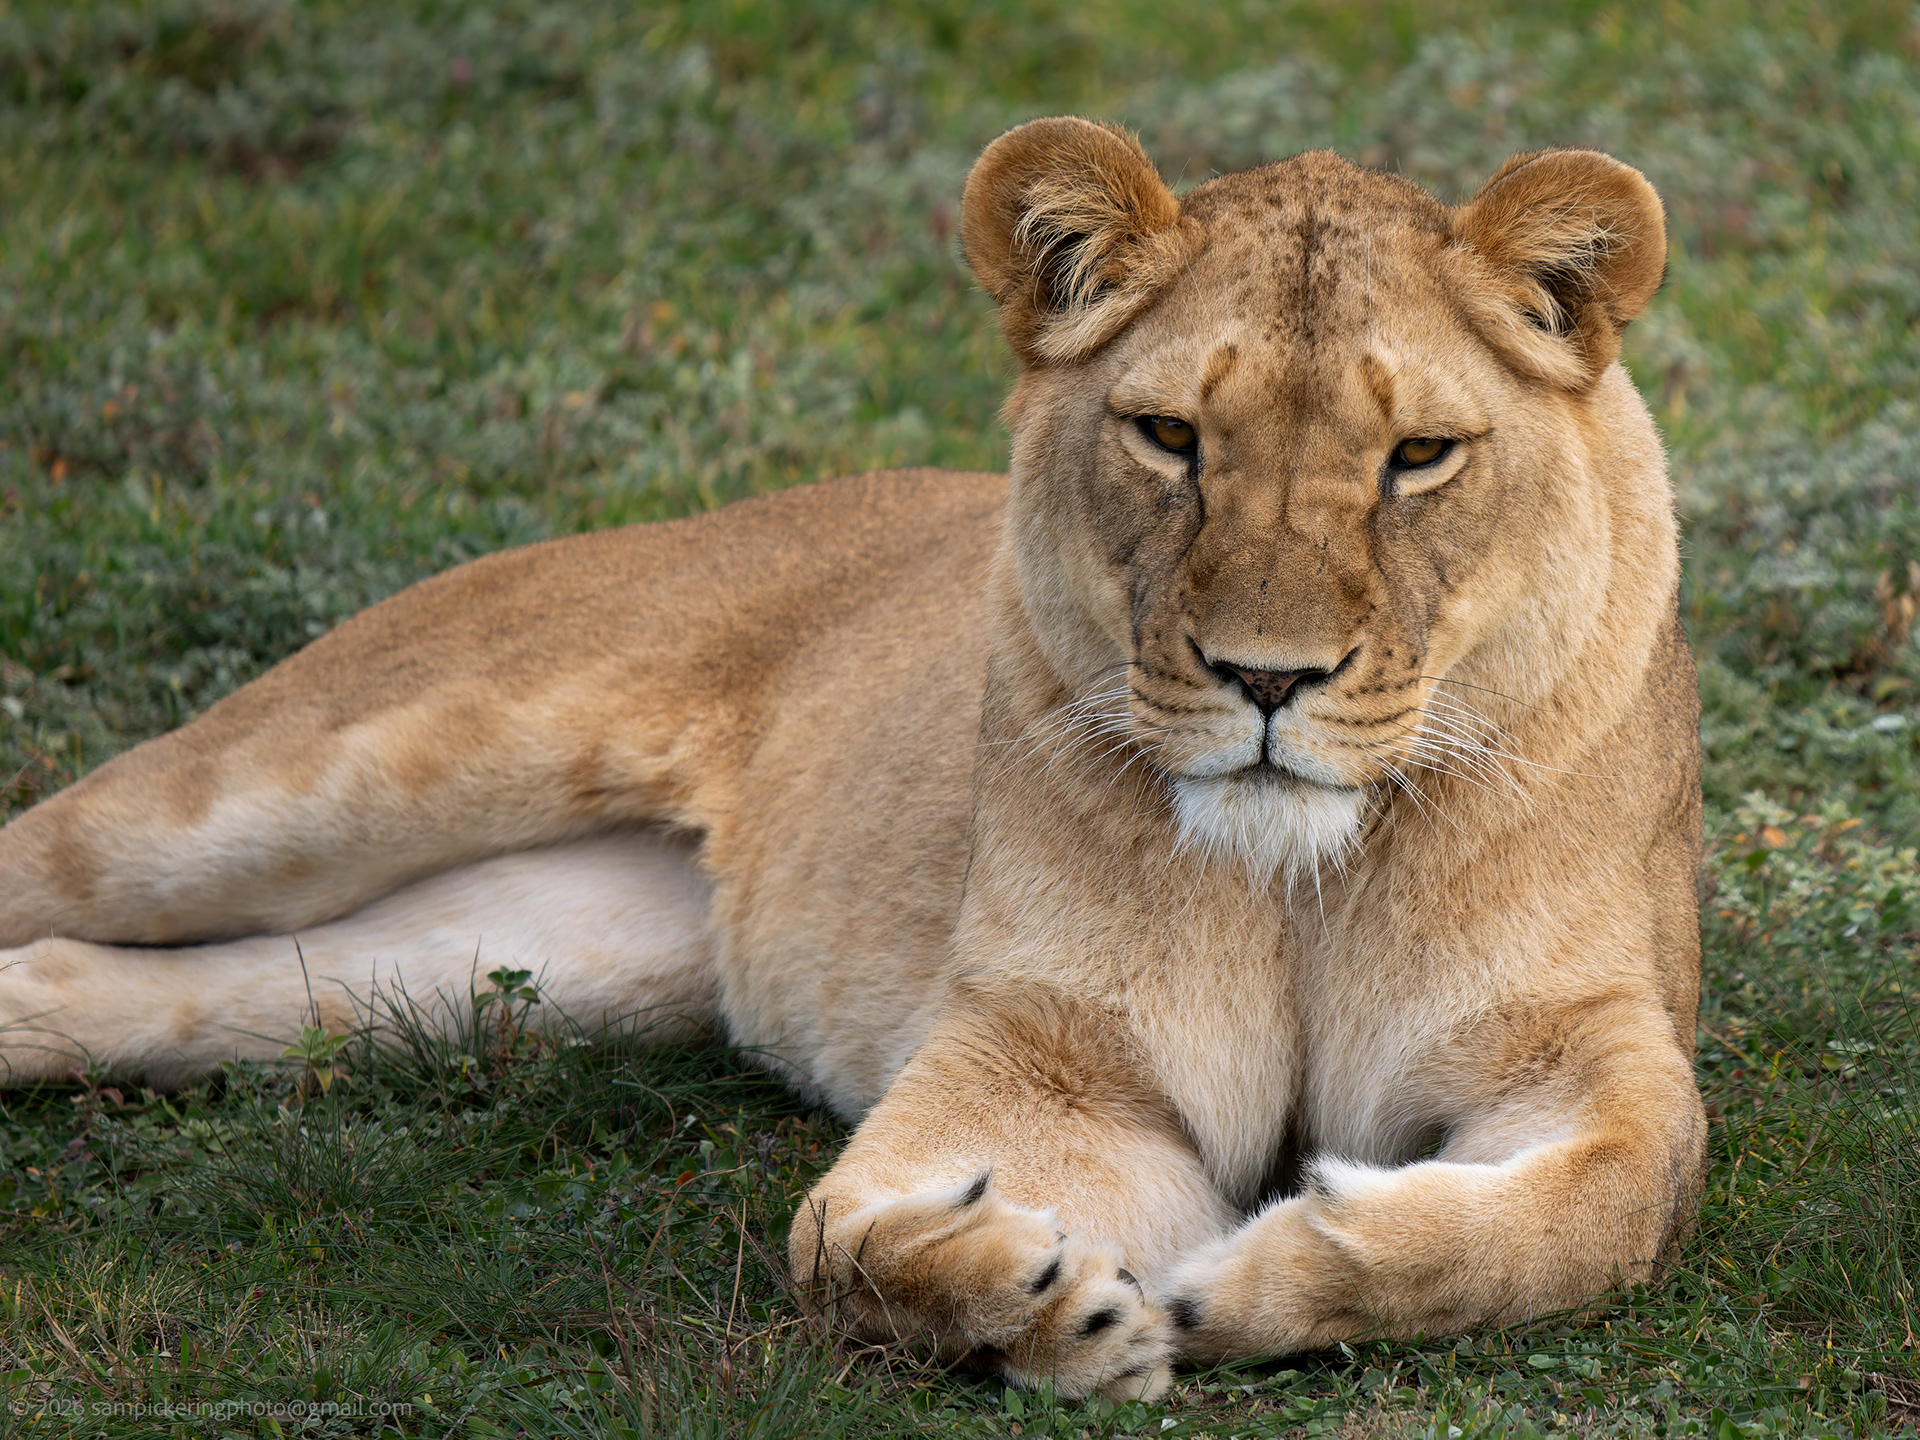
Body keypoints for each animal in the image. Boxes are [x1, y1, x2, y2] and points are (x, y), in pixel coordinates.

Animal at [0, 118, 1704, 1401]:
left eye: (1419, 457)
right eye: (1168, 438)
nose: (1265, 678)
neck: (1299, 878)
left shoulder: (1583, 1041)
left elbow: (1601, 1203)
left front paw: (1263, 1274)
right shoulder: (1055, 1061)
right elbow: (836, 1240)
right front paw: (1021, 1292)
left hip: (528, 975)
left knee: (190, 992)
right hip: (297, 788)